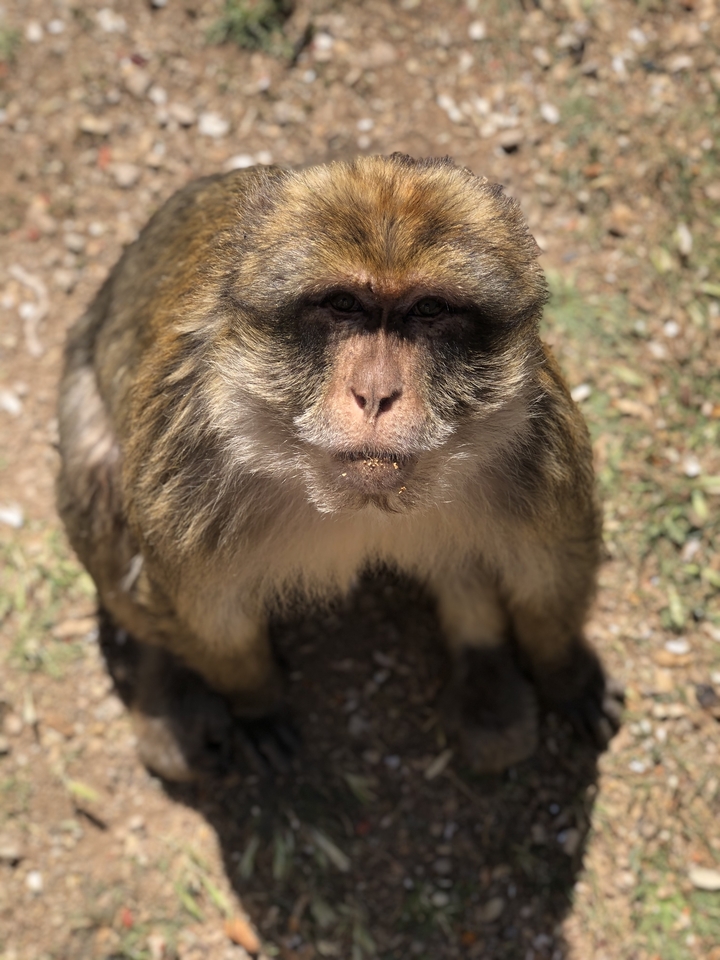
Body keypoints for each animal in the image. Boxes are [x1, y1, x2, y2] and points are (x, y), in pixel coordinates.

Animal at [56, 154, 622, 782]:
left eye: (428, 310)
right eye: (343, 305)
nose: (375, 394)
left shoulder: (536, 439)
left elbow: (550, 571)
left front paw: (565, 671)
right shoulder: (186, 457)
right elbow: (203, 611)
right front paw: (256, 701)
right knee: (100, 493)